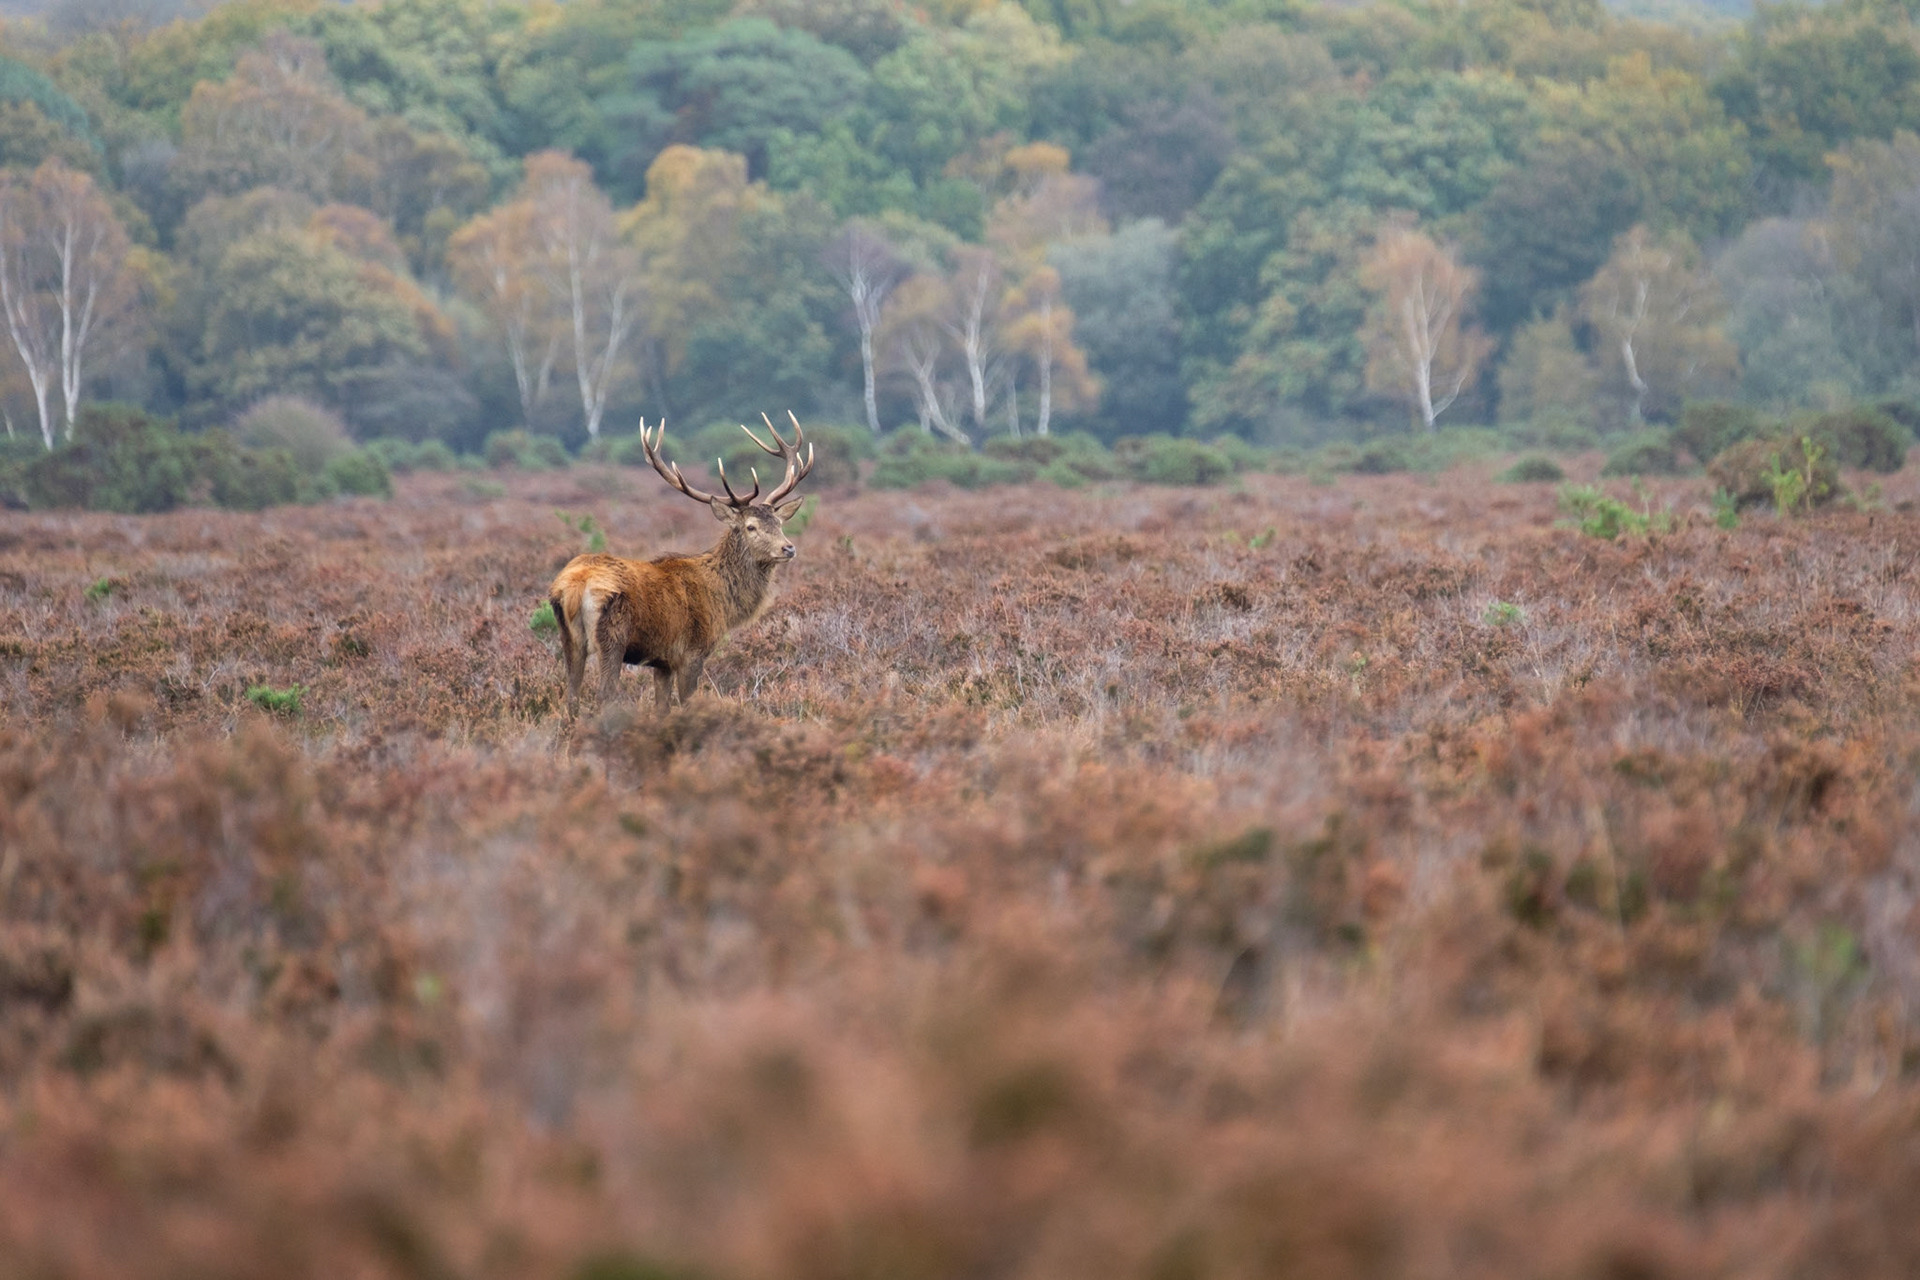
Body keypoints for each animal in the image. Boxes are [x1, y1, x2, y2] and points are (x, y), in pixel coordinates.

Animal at [548, 413, 815, 723]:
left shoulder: (662, 660)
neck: (722, 601)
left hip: (569, 638)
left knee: (572, 696)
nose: (788, 548)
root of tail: (576, 585)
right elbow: (687, 702)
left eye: (779, 523)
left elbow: (662, 707)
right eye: (751, 527)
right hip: (611, 636)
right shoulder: (692, 652)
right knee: (605, 694)